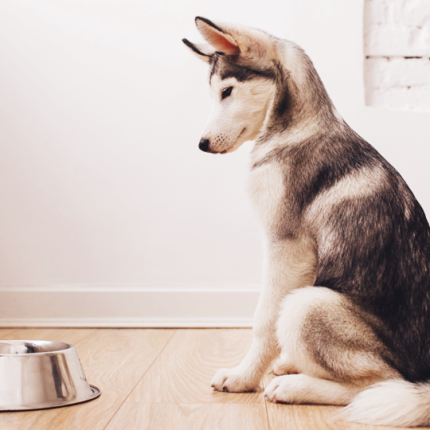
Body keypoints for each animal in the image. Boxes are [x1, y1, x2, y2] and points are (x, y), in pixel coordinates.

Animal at [183, 17, 430, 426]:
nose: (201, 144)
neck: (293, 130)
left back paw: (293, 386)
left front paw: (243, 377)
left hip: (307, 305)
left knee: (379, 384)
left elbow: (263, 321)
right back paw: (291, 367)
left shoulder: (287, 247)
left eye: (227, 91)